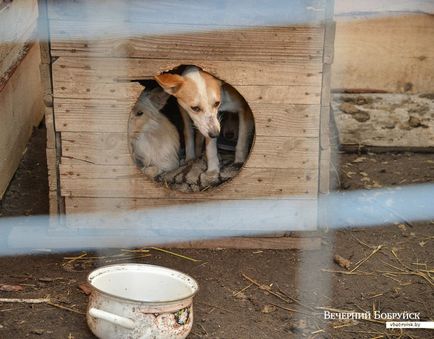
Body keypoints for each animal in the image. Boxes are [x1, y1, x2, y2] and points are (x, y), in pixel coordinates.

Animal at [126, 65, 254, 193]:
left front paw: (239, 163)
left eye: (217, 103)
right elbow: (201, 141)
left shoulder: (244, 109)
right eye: (195, 108)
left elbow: (241, 142)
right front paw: (210, 169)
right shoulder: (185, 111)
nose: (216, 134)